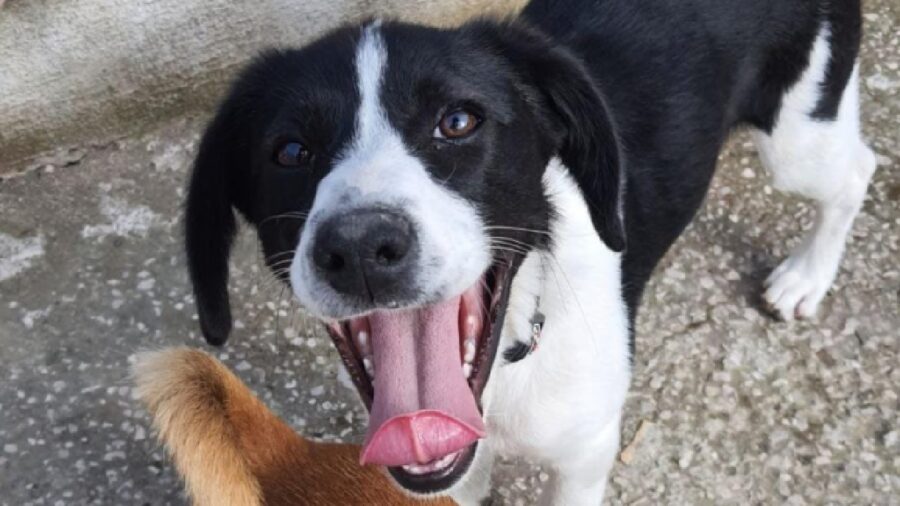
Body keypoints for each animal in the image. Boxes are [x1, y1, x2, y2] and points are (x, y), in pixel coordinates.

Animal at [181, 1, 872, 504]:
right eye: (290, 152)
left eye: (459, 121)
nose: (360, 248)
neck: (508, 368)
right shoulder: (453, 476)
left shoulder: (585, 457)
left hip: (797, 136)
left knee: (857, 170)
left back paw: (806, 276)